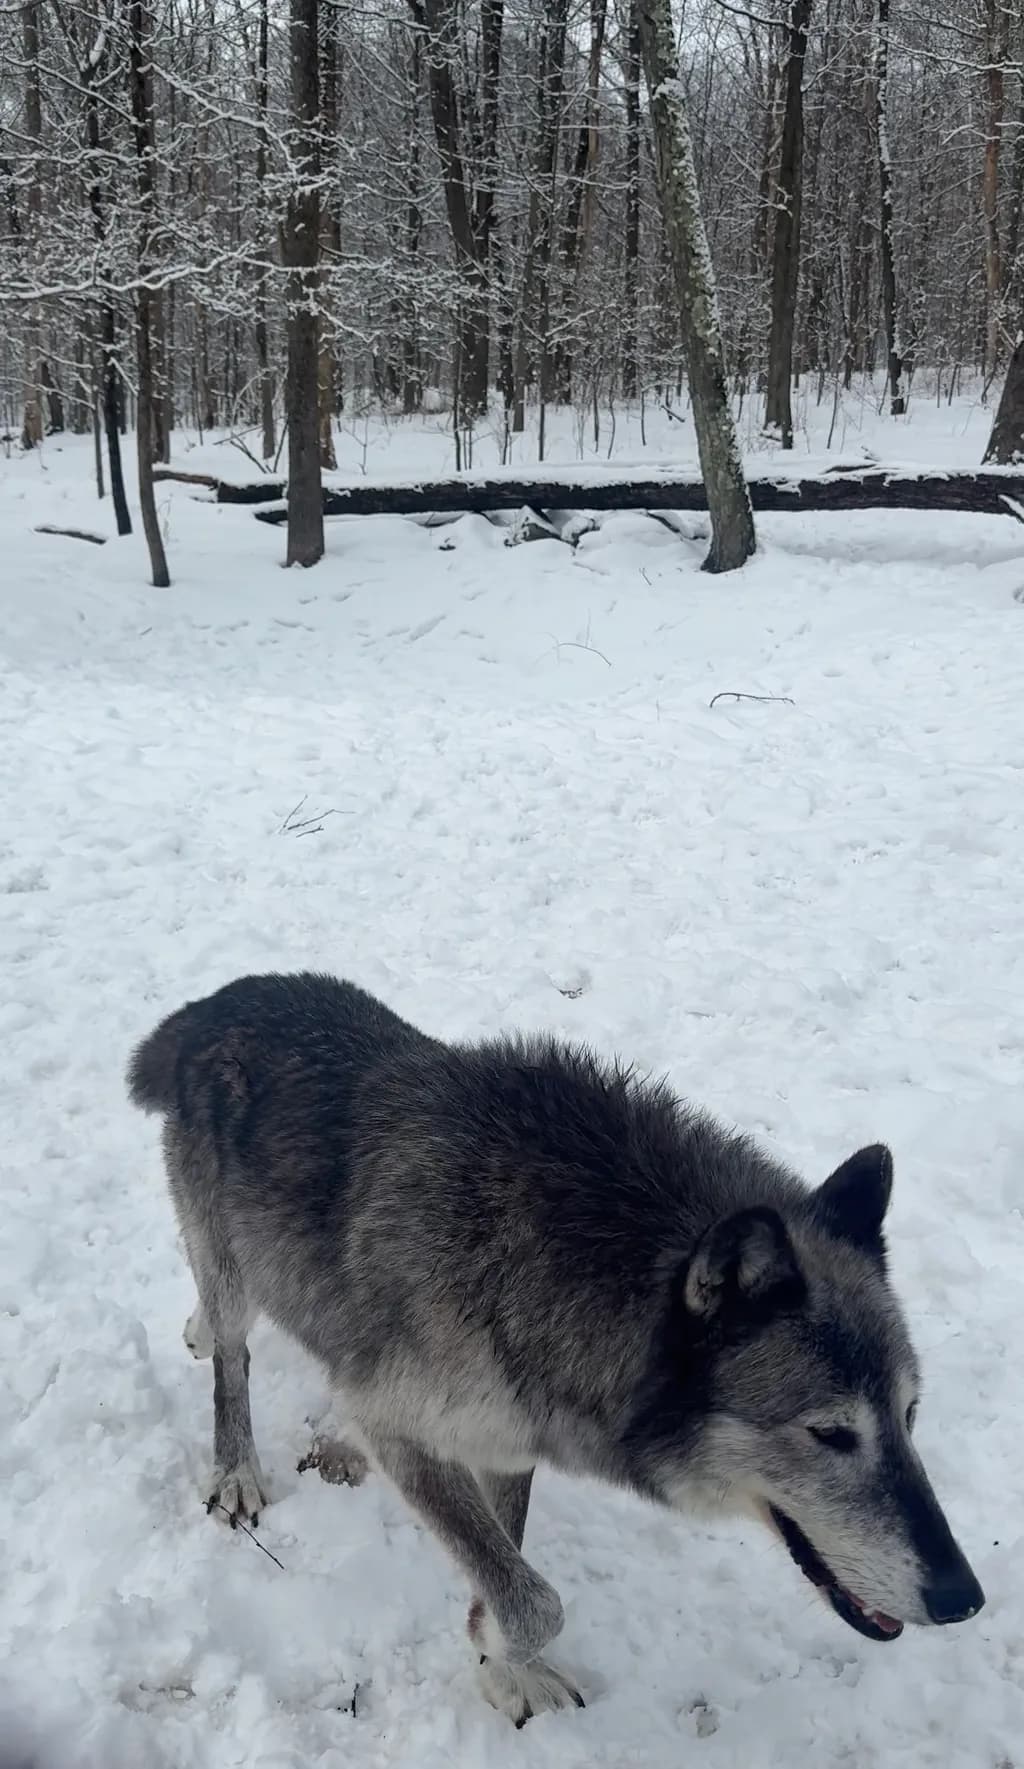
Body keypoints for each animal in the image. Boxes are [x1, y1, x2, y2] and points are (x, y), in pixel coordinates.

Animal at [127, 971, 984, 1723]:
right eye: (831, 1432)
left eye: (910, 1415)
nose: (965, 1598)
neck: (556, 1261)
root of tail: (214, 1003)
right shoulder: (395, 1425)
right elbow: (537, 1599)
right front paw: (499, 1645)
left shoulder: (505, 1440)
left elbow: (509, 1561)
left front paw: (498, 1664)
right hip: (235, 1274)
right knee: (233, 1354)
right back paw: (235, 1467)